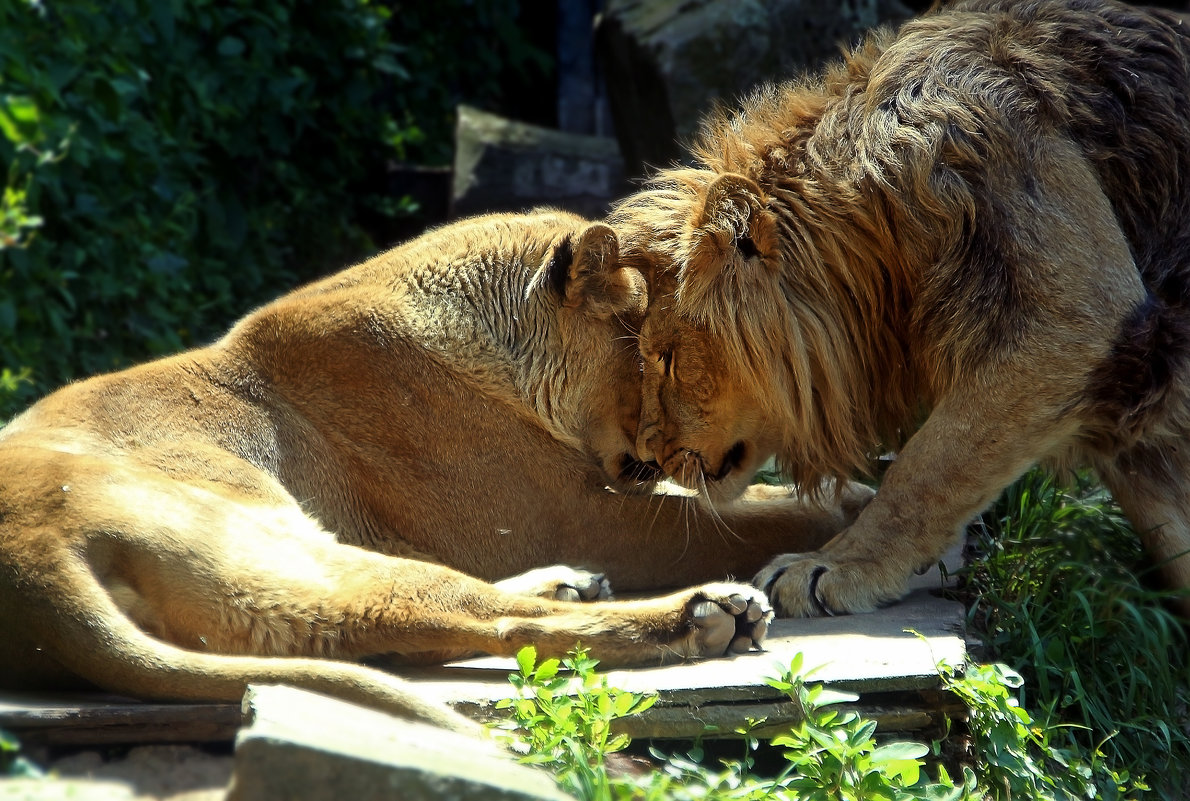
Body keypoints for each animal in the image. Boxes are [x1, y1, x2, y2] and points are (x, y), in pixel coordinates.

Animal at [0, 208, 866, 733]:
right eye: (657, 353)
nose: (677, 443)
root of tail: (34, 574)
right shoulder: (589, 512)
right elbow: (758, 513)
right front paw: (850, 512)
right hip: (268, 540)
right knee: (469, 616)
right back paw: (708, 613)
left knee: (407, 630)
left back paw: (574, 584)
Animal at [614, 0, 1190, 614]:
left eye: (668, 358)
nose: (649, 455)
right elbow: (1168, 518)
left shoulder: (1073, 307)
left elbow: (928, 464)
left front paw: (836, 565)